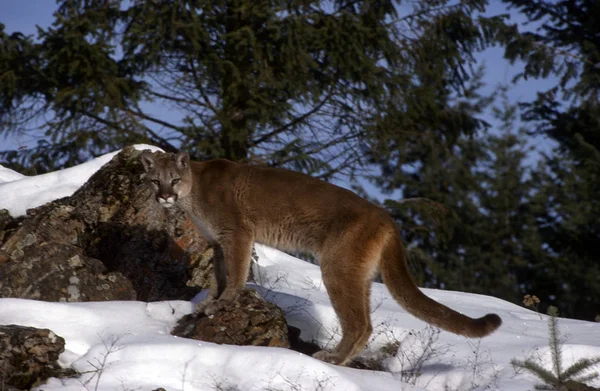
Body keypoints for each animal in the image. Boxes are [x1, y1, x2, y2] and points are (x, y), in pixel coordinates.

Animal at [141, 151, 502, 368]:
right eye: (155, 179)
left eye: (174, 179)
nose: (165, 196)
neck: (194, 191)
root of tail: (386, 216)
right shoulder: (217, 242)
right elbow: (218, 276)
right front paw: (207, 303)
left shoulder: (238, 233)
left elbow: (236, 273)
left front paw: (224, 302)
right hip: (356, 273)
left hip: (337, 267)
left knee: (359, 324)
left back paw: (332, 358)